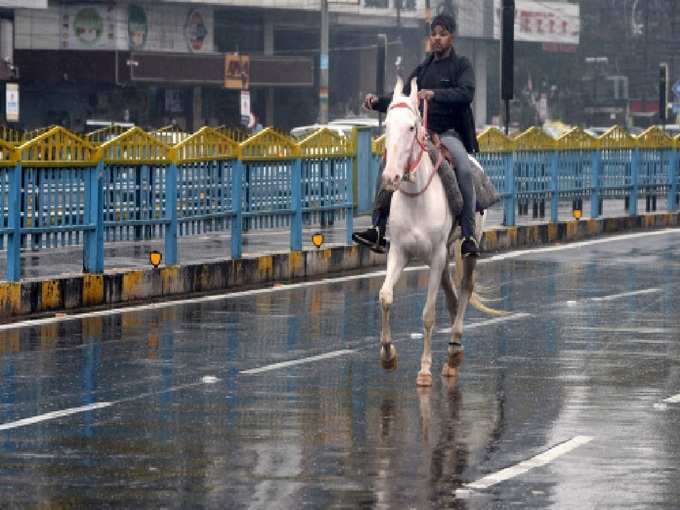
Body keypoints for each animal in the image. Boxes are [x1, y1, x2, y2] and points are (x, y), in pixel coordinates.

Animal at [378, 76, 488, 386]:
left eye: (411, 127)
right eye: (386, 125)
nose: (390, 177)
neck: (417, 197)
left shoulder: (438, 257)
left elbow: (427, 315)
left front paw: (425, 370)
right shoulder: (399, 252)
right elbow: (385, 297)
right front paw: (388, 355)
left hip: (465, 247)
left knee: (464, 289)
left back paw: (454, 349)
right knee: (451, 297)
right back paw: (453, 357)